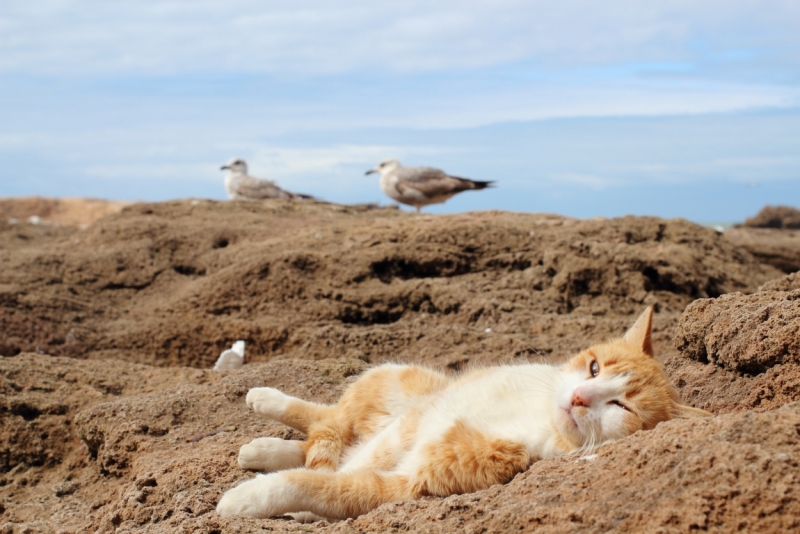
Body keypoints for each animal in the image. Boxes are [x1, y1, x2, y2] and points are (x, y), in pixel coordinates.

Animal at [216, 308, 708, 520]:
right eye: (594, 367)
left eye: (623, 406)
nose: (580, 398)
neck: (535, 416)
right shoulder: (418, 419)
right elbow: (349, 462)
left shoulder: (412, 482)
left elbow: (328, 483)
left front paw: (249, 499)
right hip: (396, 378)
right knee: (329, 420)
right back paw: (265, 407)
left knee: (324, 440)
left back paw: (264, 455)